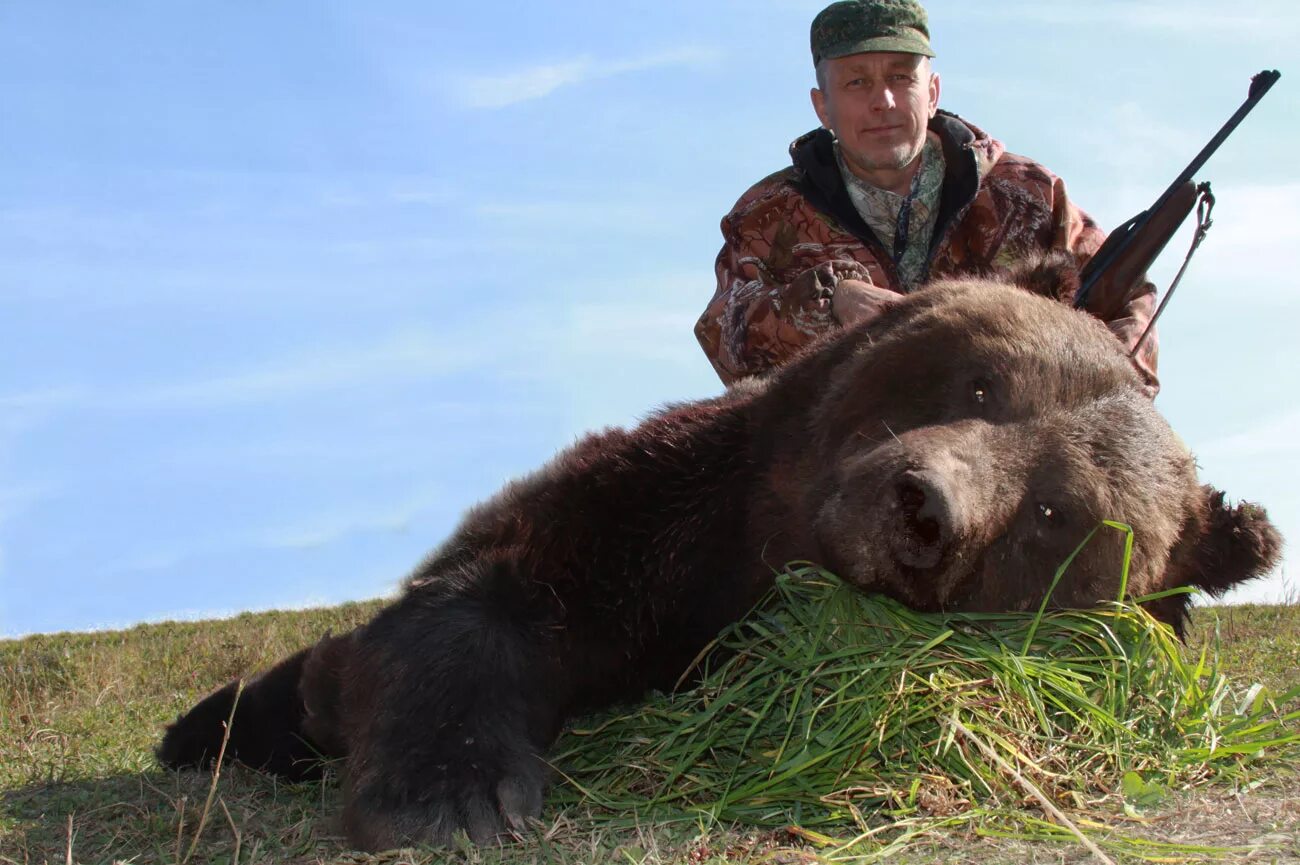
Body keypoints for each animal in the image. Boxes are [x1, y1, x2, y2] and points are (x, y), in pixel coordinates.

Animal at [159, 265, 1279, 848]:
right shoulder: (660, 507)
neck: (754, 557)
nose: (921, 507)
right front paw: (451, 793)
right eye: (980, 382)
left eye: (1053, 511)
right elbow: (487, 594)